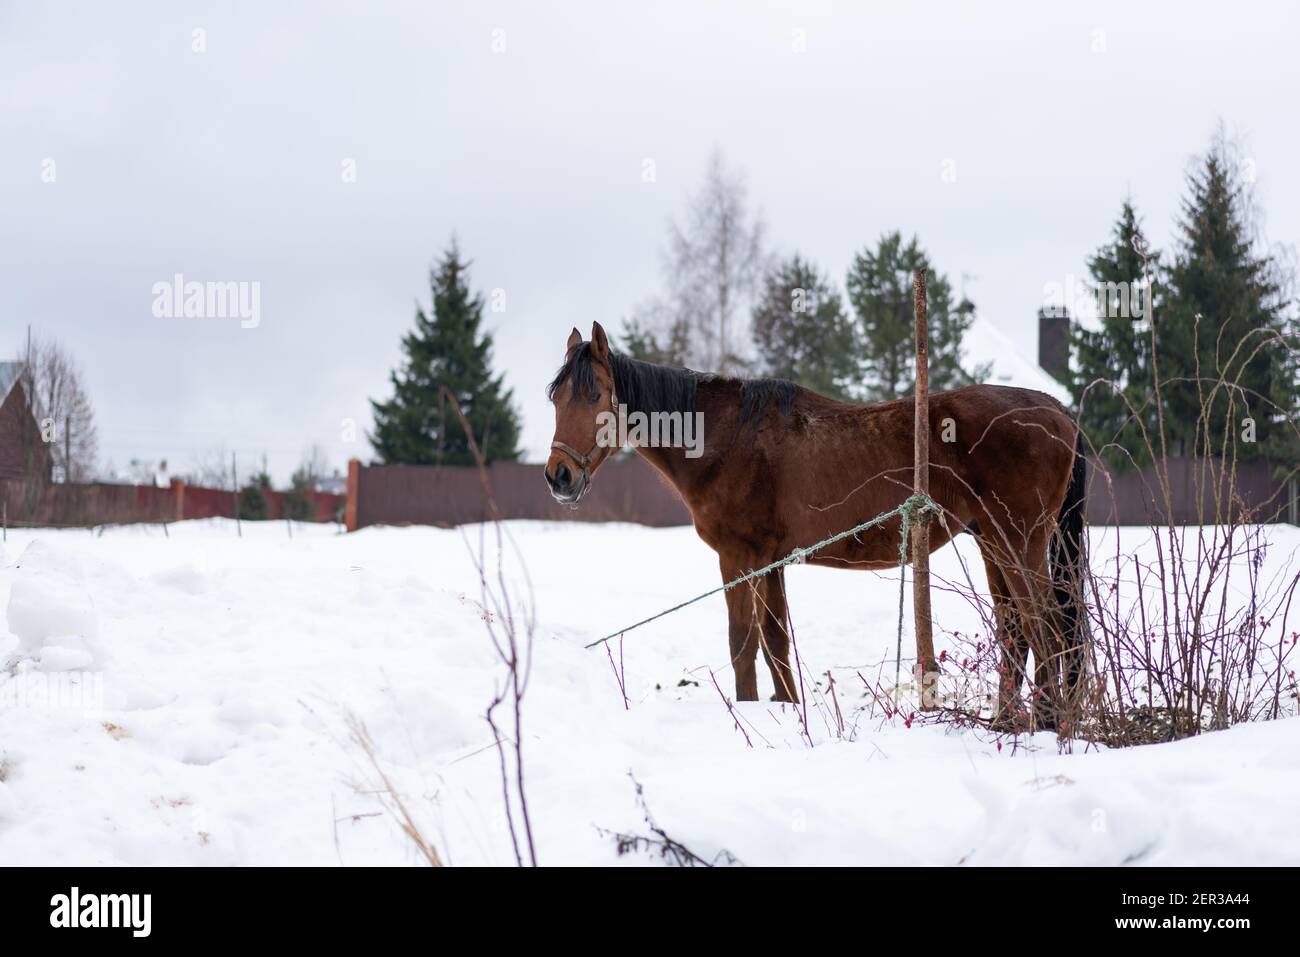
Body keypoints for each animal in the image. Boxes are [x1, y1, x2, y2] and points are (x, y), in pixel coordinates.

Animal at [546, 322, 1088, 728]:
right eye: (555, 400)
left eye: (595, 395)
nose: (559, 476)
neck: (726, 439)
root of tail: (1057, 411)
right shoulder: (771, 561)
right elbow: (776, 642)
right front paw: (787, 711)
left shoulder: (738, 558)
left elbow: (743, 642)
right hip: (992, 542)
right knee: (1017, 632)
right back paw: (1010, 723)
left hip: (1018, 542)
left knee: (1047, 629)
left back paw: (1044, 726)